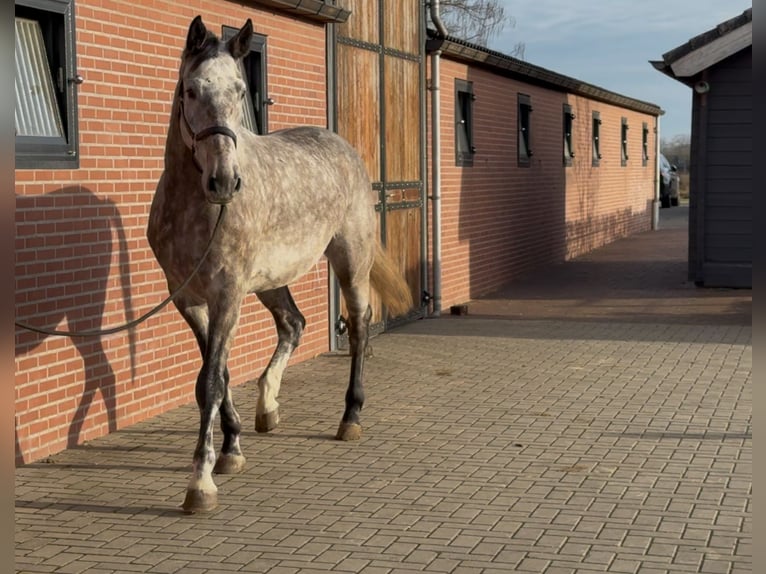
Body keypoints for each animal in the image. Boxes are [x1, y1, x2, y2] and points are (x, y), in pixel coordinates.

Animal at [147, 15, 413, 514]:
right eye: (190, 90)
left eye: (239, 90)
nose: (223, 181)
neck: (198, 208)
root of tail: (342, 145)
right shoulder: (189, 299)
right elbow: (217, 375)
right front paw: (230, 449)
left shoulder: (228, 295)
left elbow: (209, 383)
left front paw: (200, 483)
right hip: (272, 279)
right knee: (293, 323)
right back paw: (267, 406)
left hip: (350, 260)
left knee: (359, 326)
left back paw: (350, 417)